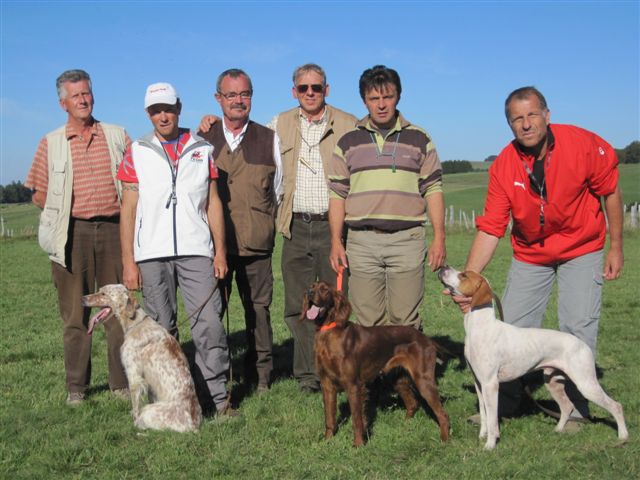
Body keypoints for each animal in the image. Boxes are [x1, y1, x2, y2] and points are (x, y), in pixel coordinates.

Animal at [304, 282, 450, 446]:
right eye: (312, 286)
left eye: (324, 289)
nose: (309, 293)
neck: (329, 332)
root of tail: (427, 340)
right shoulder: (327, 384)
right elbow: (329, 417)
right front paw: (327, 441)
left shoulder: (353, 385)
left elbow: (357, 420)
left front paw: (358, 444)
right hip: (398, 379)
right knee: (413, 403)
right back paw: (405, 426)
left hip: (423, 380)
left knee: (443, 414)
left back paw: (445, 440)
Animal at [438, 266, 628, 450]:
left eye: (463, 275)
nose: (442, 267)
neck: (480, 327)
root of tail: (583, 345)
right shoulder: (479, 382)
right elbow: (485, 415)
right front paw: (482, 436)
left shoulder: (490, 384)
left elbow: (492, 419)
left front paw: (490, 445)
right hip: (553, 383)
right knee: (567, 407)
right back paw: (557, 430)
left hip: (586, 384)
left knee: (616, 406)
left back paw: (623, 437)